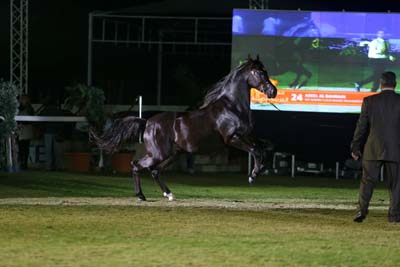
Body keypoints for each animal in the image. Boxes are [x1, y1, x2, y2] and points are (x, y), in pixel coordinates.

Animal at [92, 58, 276, 201]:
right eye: (259, 72)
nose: (273, 91)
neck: (231, 107)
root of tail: (147, 121)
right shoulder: (232, 138)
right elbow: (255, 150)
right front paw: (253, 176)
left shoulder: (248, 135)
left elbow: (263, 148)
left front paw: (260, 171)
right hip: (159, 154)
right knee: (137, 165)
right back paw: (141, 196)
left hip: (173, 154)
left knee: (155, 171)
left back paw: (169, 194)